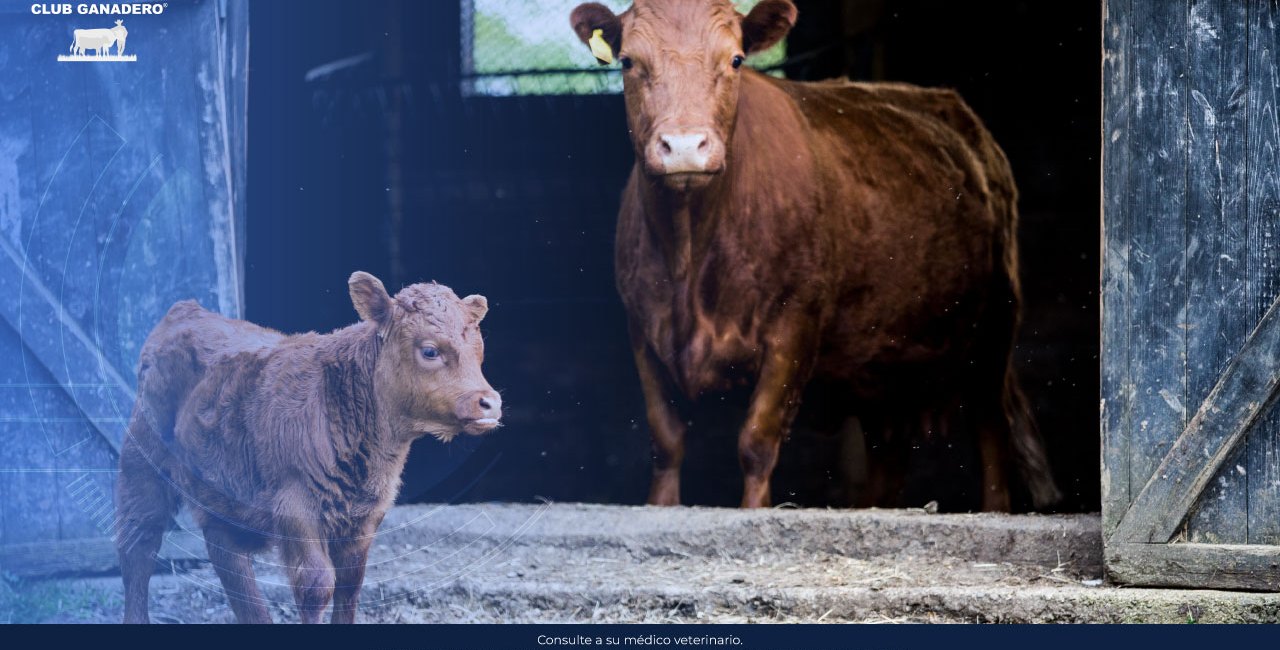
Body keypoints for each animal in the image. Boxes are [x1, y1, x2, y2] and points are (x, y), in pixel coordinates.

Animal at [115, 271, 501, 621]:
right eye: (430, 350)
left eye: (479, 352)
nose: (490, 402)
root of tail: (187, 311)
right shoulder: (296, 508)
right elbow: (316, 587)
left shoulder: (365, 517)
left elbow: (350, 586)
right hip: (141, 465)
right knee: (139, 546)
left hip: (223, 495)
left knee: (229, 561)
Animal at [570, 1, 1059, 511]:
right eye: (628, 62)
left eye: (736, 60)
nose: (684, 146)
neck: (690, 255)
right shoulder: (642, 329)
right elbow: (665, 441)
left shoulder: (794, 325)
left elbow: (756, 440)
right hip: (884, 365)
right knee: (890, 452)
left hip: (994, 329)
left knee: (990, 428)